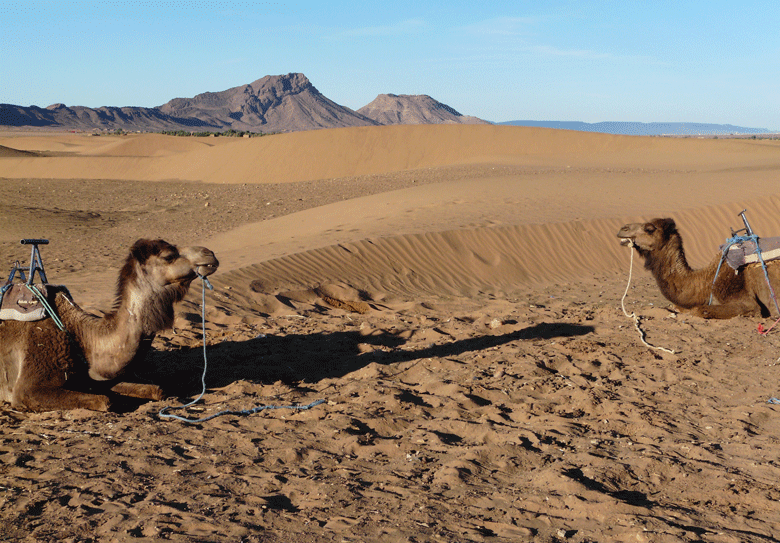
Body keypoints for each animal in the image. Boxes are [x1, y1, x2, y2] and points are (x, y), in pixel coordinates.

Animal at [1, 239, 219, 412]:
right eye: (168, 256)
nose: (210, 254)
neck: (79, 335)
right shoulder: (28, 388)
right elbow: (106, 401)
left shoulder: (91, 376)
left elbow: (157, 390)